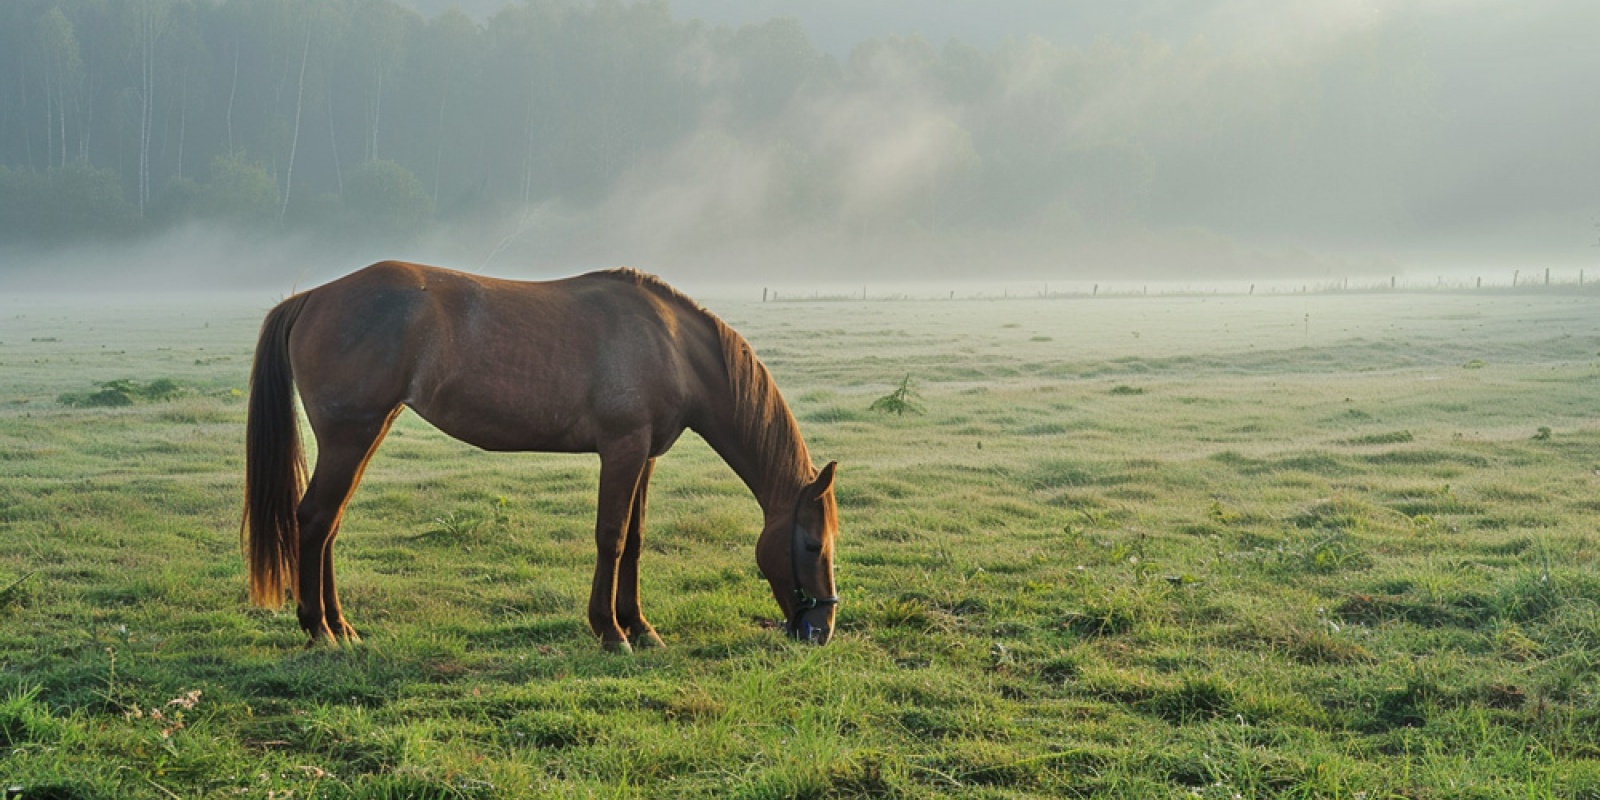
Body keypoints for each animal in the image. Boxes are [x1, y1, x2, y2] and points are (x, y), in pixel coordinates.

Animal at [240, 262, 838, 649]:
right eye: (813, 545)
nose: (822, 631)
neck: (671, 344)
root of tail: (311, 298)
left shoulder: (644, 457)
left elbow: (636, 541)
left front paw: (640, 626)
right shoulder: (622, 450)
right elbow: (611, 537)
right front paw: (611, 630)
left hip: (367, 434)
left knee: (329, 525)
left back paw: (341, 626)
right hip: (350, 437)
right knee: (314, 520)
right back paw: (319, 629)